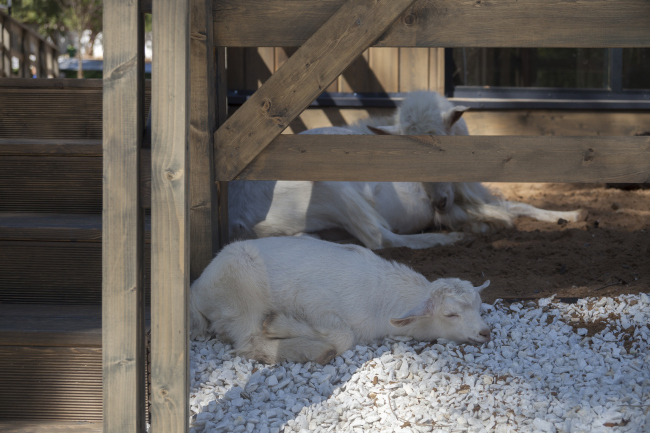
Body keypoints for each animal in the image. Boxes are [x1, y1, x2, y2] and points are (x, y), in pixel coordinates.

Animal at [190, 236, 488, 364]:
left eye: (478, 306)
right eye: (450, 314)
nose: (486, 332)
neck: (382, 296)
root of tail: (196, 290)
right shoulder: (311, 300)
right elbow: (344, 336)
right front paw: (278, 324)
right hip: (241, 287)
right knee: (249, 340)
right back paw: (314, 351)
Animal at [229, 90, 588, 250]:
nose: (437, 203)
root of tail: (238, 216)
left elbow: (519, 204)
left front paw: (569, 214)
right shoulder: (452, 207)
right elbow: (506, 210)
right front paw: (484, 227)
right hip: (333, 189)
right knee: (380, 238)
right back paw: (451, 239)